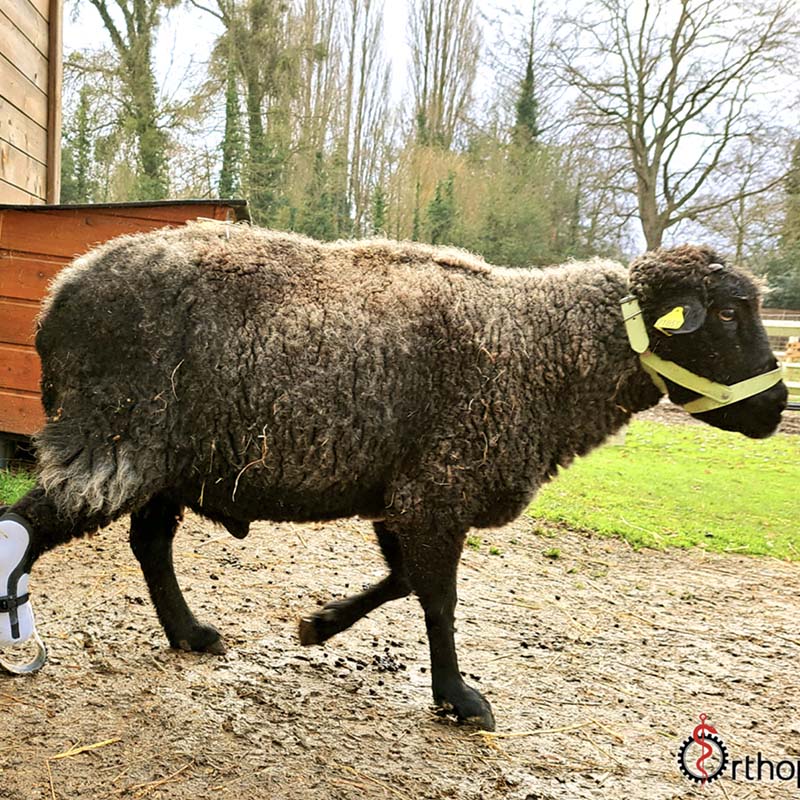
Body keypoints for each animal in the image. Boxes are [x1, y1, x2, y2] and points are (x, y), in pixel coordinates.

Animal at [0, 224, 787, 729]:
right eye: (726, 312)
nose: (777, 407)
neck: (541, 352)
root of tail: (55, 299)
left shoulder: (405, 491)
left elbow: (404, 580)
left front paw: (320, 625)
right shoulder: (440, 486)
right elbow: (438, 598)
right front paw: (458, 700)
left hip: (165, 459)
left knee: (149, 543)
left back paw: (191, 633)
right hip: (116, 438)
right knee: (29, 526)